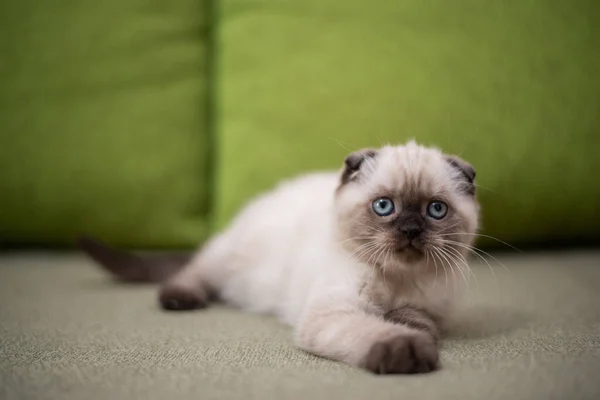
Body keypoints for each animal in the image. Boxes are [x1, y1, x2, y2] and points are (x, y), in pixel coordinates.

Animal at [82, 141, 480, 376]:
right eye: (384, 206)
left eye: (435, 210)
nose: (411, 230)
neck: (398, 280)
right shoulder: (332, 311)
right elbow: (374, 330)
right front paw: (408, 351)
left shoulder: (430, 310)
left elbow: (416, 322)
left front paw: (411, 333)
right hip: (224, 260)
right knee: (193, 272)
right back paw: (180, 299)